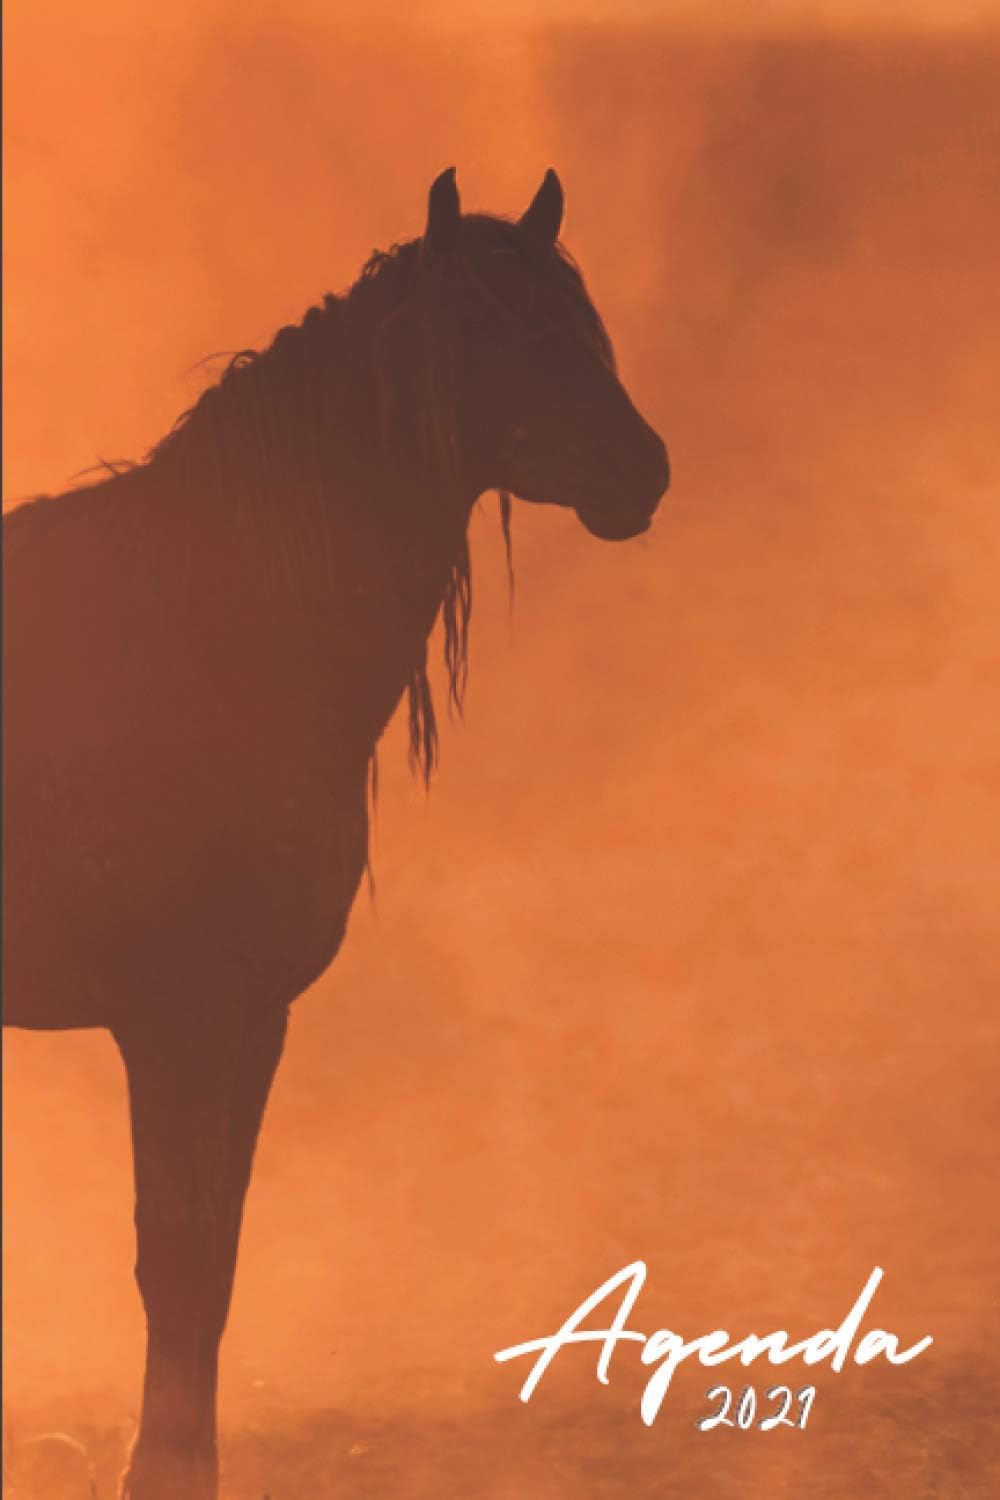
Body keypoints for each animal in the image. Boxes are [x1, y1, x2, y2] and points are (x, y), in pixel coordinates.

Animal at [2, 167, 669, 1499]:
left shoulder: (255, 1018)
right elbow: (174, 1256)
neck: (216, 634)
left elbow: (214, 1266)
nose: (643, 470)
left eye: (579, 319)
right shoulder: (171, 1016)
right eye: (487, 326)